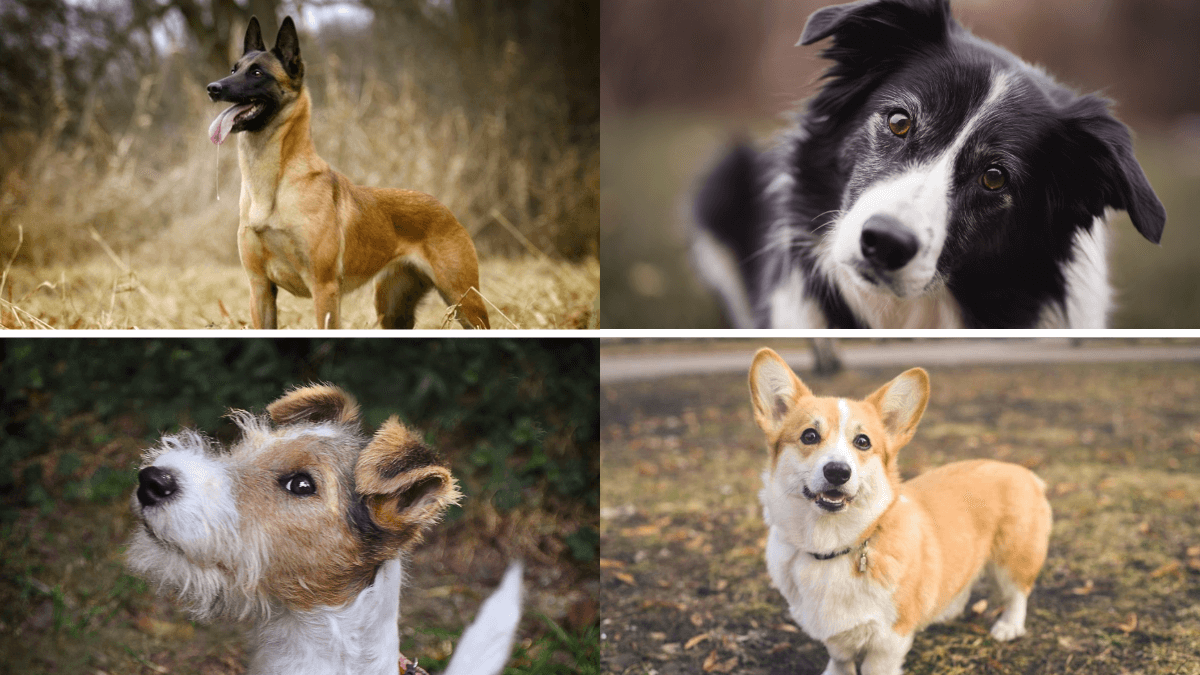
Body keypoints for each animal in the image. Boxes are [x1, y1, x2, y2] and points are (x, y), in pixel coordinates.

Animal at [205, 16, 487, 329]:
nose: (212, 88)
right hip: (392, 309)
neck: (271, 188)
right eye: (234, 69)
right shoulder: (260, 289)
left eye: (257, 72)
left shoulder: (323, 288)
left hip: (465, 302)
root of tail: (443, 208)